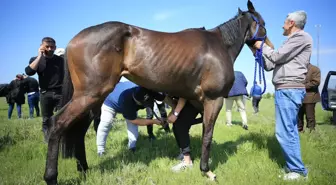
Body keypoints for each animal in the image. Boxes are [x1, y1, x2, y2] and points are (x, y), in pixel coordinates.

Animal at [43, 1, 272, 184]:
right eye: (264, 25)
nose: (267, 53)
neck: (218, 46)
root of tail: (73, 41)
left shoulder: (196, 101)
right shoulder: (213, 100)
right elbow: (207, 134)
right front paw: (206, 171)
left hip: (91, 100)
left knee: (77, 131)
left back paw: (83, 169)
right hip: (89, 95)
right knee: (57, 125)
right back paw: (51, 176)